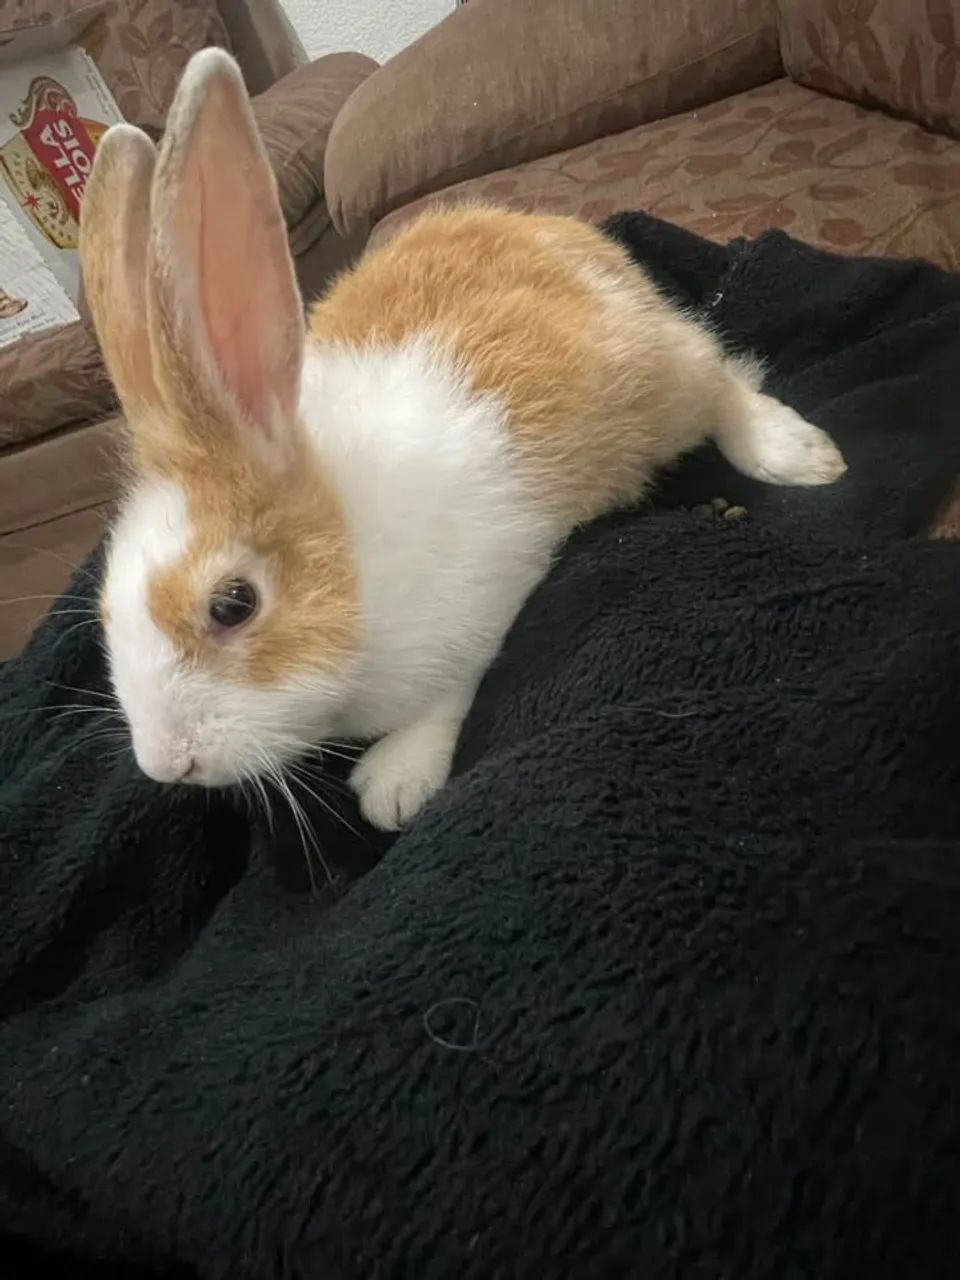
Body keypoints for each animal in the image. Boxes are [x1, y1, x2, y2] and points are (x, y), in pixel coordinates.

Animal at [79, 48, 846, 832]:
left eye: (233, 604)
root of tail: (573, 239)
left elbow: (446, 694)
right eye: (104, 609)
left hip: (658, 381)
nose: (167, 765)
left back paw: (798, 457)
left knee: (718, 373)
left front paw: (394, 784)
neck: (354, 553)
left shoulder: (471, 610)